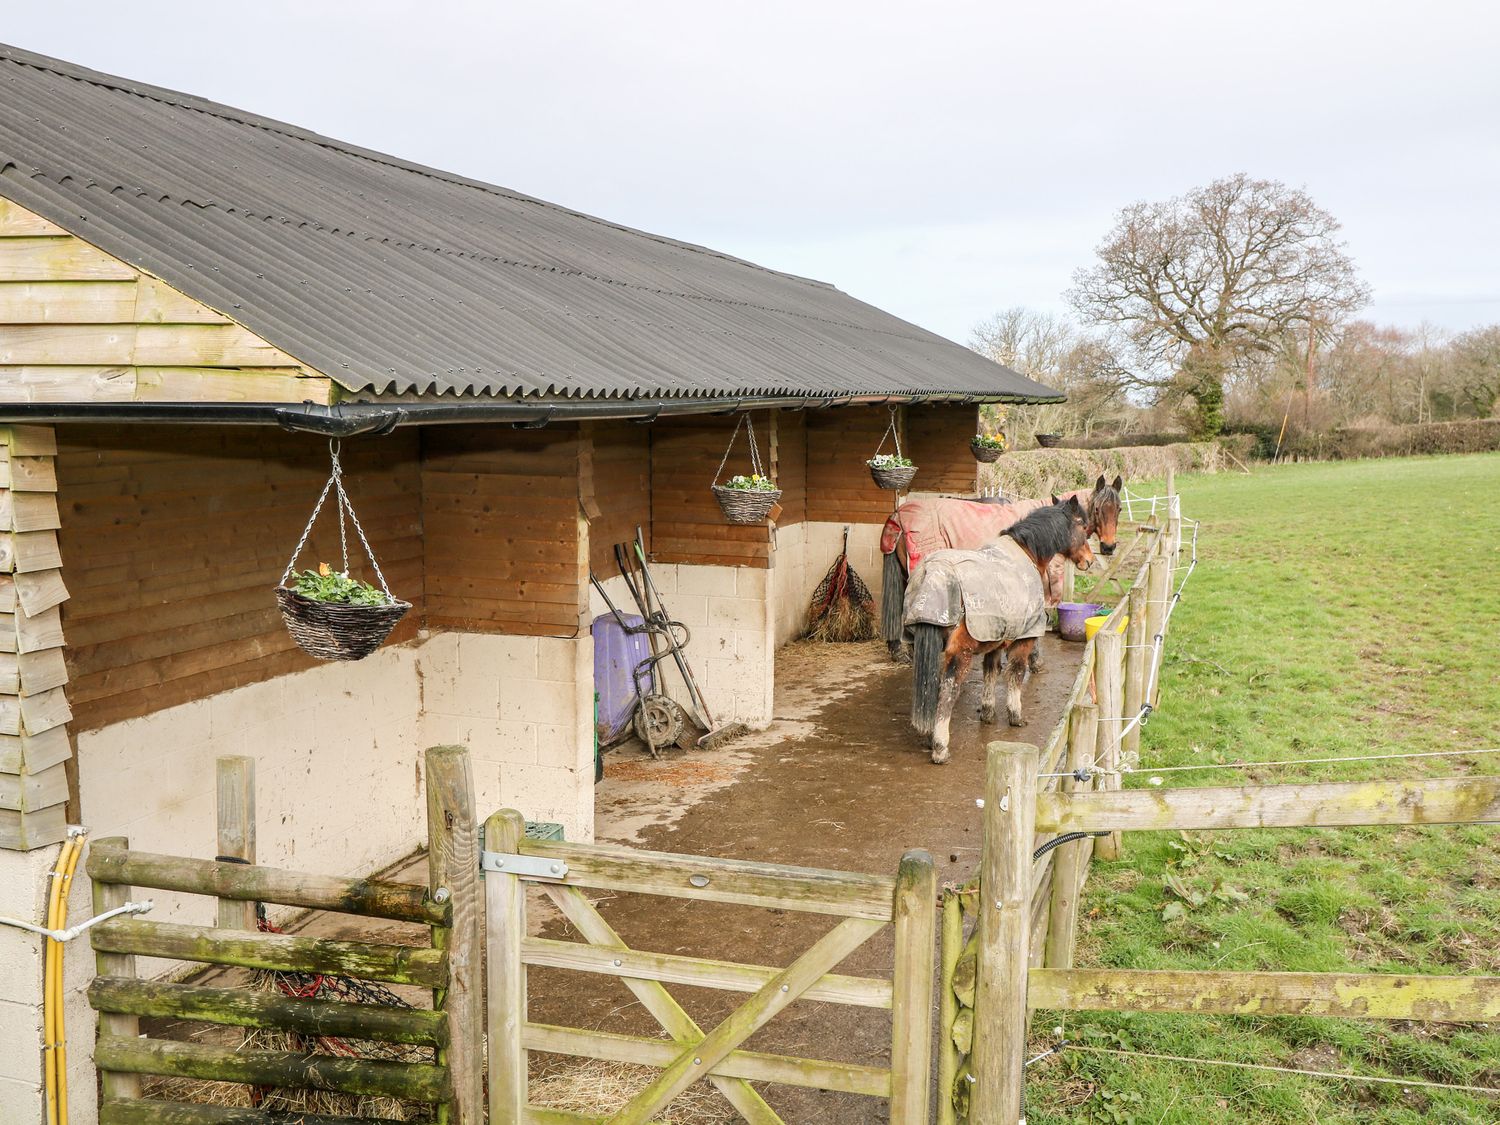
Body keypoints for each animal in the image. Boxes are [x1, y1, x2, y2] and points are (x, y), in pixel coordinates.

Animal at [894, 501, 1098, 768]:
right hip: (959, 653)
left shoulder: (995, 640)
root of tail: (934, 573)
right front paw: (1015, 715)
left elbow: (991, 672)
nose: (1089, 560)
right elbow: (1016, 674)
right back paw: (940, 747)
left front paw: (988, 712)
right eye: (1083, 526)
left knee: (931, 688)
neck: (1027, 552)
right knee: (948, 690)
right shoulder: (1023, 639)